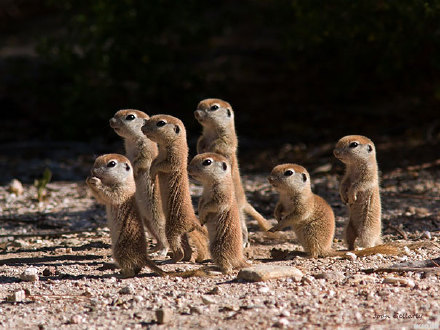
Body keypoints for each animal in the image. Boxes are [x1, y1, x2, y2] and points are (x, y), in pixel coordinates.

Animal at [109, 109, 168, 256]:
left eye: (130, 117)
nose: (111, 121)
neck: (132, 140)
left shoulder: (145, 151)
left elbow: (141, 163)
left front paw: (133, 173)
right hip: (147, 222)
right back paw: (153, 249)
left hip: (156, 218)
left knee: (164, 238)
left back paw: (162, 252)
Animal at [141, 114, 210, 262]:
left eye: (161, 123)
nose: (142, 128)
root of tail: (192, 220)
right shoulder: (157, 157)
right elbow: (154, 162)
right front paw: (151, 173)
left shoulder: (174, 158)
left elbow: (163, 165)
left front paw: (152, 173)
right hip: (182, 233)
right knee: (187, 250)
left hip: (171, 229)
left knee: (179, 250)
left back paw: (171, 259)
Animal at [194, 98, 274, 245]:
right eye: (198, 105)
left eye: (214, 107)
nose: (196, 113)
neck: (211, 131)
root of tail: (244, 201)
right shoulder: (202, 139)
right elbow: (200, 144)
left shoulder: (226, 140)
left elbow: (220, 147)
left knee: (243, 226)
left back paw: (244, 241)